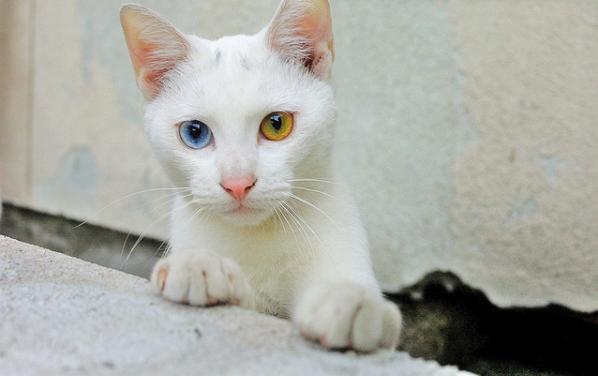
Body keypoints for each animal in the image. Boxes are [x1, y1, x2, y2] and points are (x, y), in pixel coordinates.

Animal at [120, 0, 404, 352]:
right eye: (195, 133)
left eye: (276, 124)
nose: (238, 183)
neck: (258, 237)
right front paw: (200, 265)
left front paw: (349, 300)